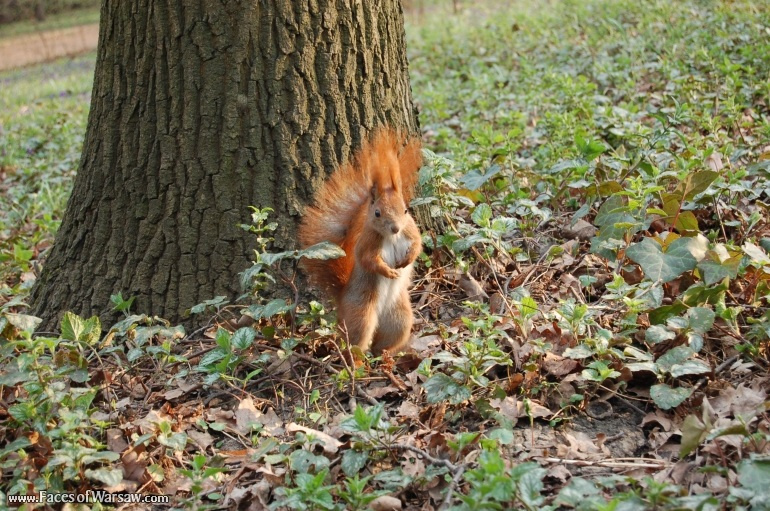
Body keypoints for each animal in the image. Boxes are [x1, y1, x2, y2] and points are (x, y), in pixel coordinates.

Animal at [298, 129, 423, 354]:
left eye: (405, 210)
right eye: (377, 213)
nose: (395, 228)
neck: (392, 237)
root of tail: (341, 300)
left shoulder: (410, 229)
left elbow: (418, 243)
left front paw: (407, 259)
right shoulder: (368, 242)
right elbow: (367, 260)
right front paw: (388, 271)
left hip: (399, 318)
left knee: (383, 343)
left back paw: (385, 355)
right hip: (361, 314)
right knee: (355, 342)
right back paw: (358, 359)